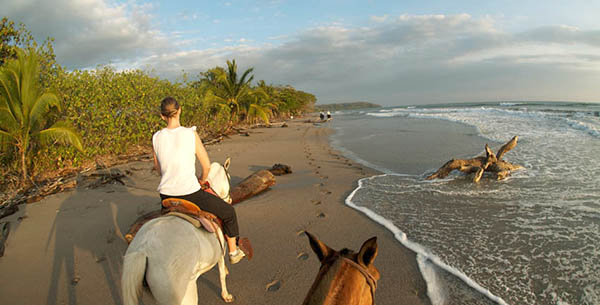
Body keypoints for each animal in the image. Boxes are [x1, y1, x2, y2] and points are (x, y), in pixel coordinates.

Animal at [120, 158, 233, 302]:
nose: (229, 200)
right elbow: (222, 275)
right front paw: (226, 295)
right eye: (229, 177)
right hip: (185, 294)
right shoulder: (220, 253)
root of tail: (143, 250)